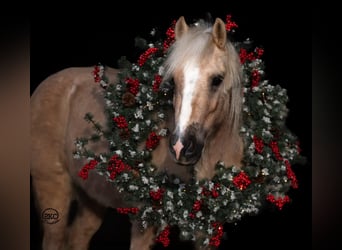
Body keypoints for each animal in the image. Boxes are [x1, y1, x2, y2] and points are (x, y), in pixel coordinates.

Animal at [30, 16, 243, 249]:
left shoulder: (208, 231)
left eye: (217, 79)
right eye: (173, 80)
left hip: (92, 197)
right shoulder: (144, 223)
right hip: (53, 188)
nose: (181, 147)